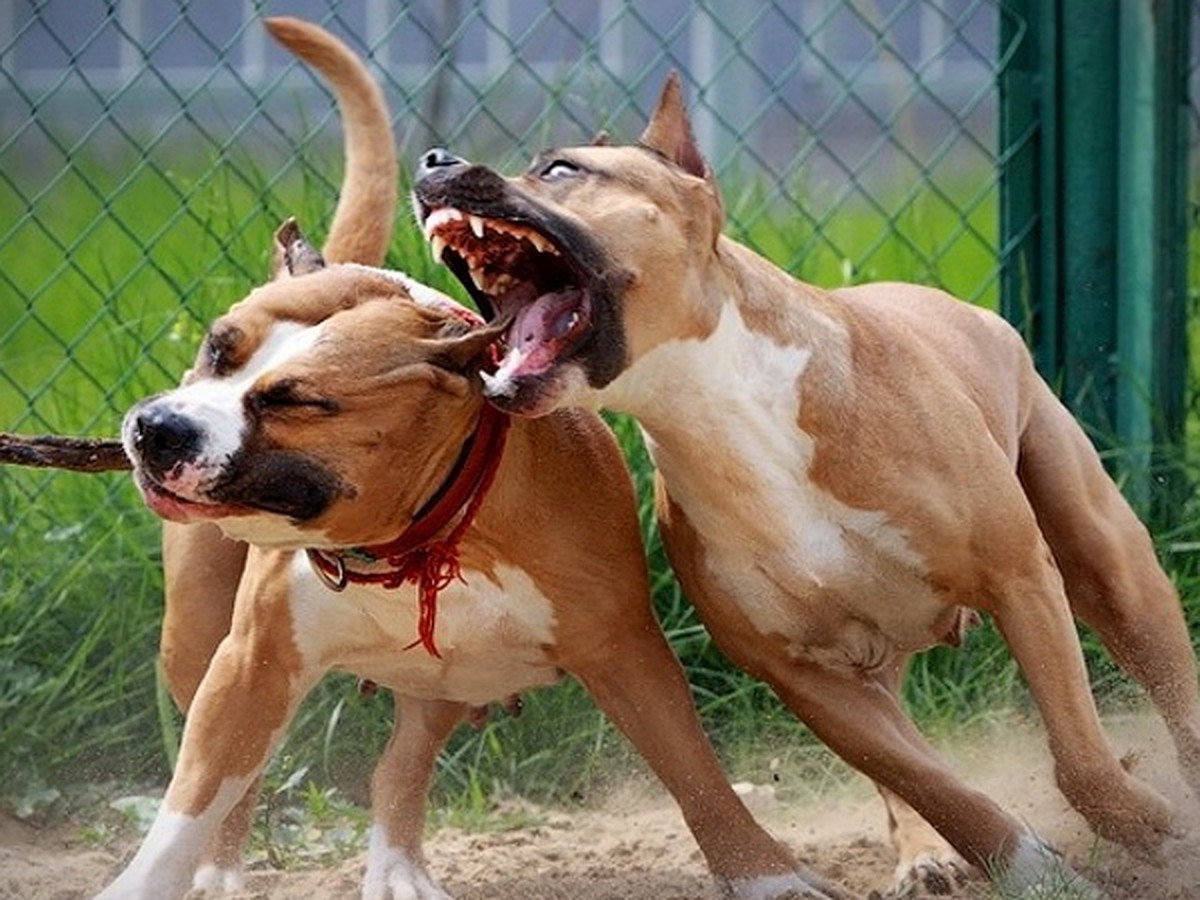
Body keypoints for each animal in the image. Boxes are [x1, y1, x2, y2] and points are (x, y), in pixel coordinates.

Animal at [100, 19, 835, 900]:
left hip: (446, 677)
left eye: (298, 401)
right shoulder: (249, 666)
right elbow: (188, 806)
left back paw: (396, 866)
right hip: (197, 641)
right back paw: (225, 871)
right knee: (240, 784)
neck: (421, 535)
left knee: (399, 763)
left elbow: (696, 774)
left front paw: (767, 877)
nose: (157, 429)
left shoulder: (627, 651)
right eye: (218, 349)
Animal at [412, 75, 1200, 897]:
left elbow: (1080, 755)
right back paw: (923, 855)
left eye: (561, 169)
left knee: (1166, 683)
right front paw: (1029, 869)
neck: (719, 409)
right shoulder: (806, 676)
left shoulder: (1019, 579)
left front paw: (1144, 824)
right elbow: (933, 786)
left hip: (1107, 562)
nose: (432, 157)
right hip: (875, 663)